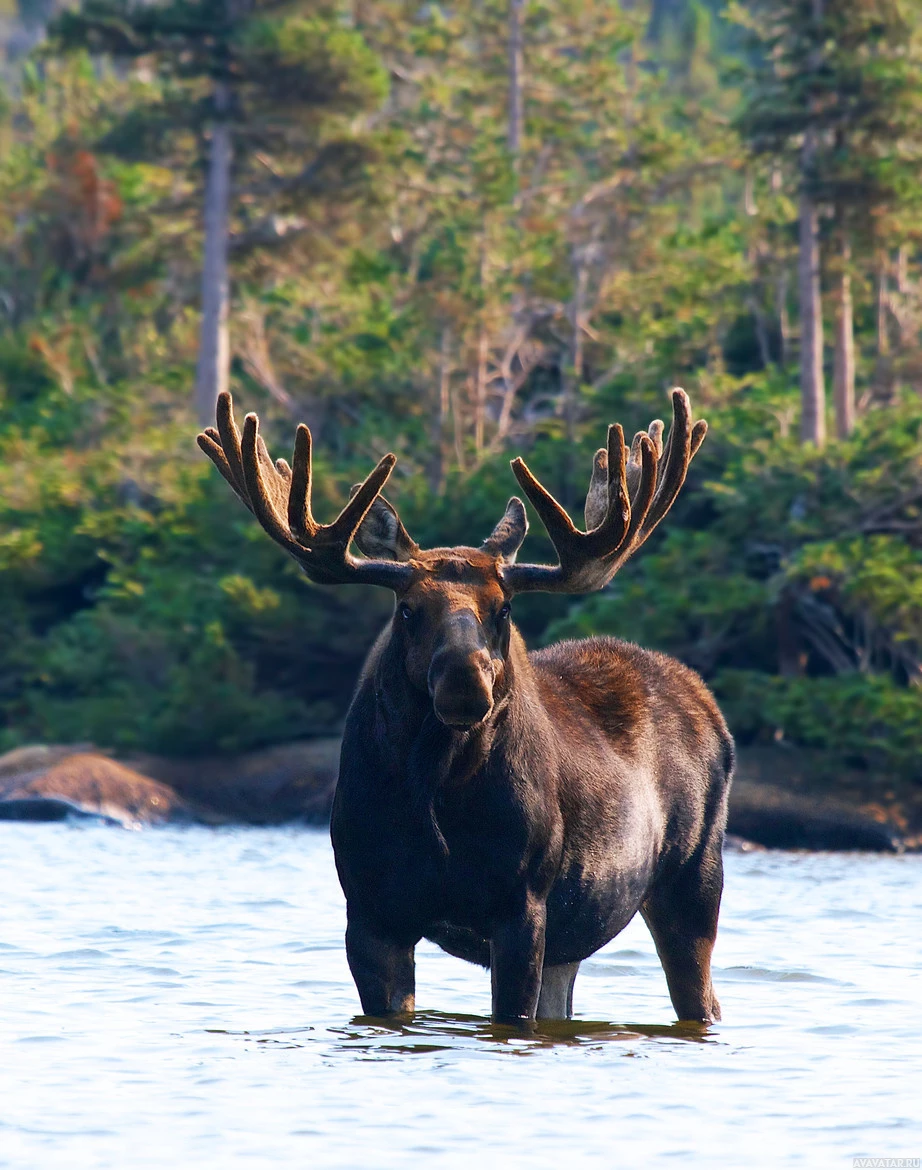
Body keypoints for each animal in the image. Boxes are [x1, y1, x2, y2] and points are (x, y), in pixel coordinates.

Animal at [200, 390, 734, 1024]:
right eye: (407, 608)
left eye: (504, 608)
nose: (464, 682)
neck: (436, 787)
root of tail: (708, 704)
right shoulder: (370, 912)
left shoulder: (522, 905)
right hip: (575, 939)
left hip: (694, 880)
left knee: (704, 995)